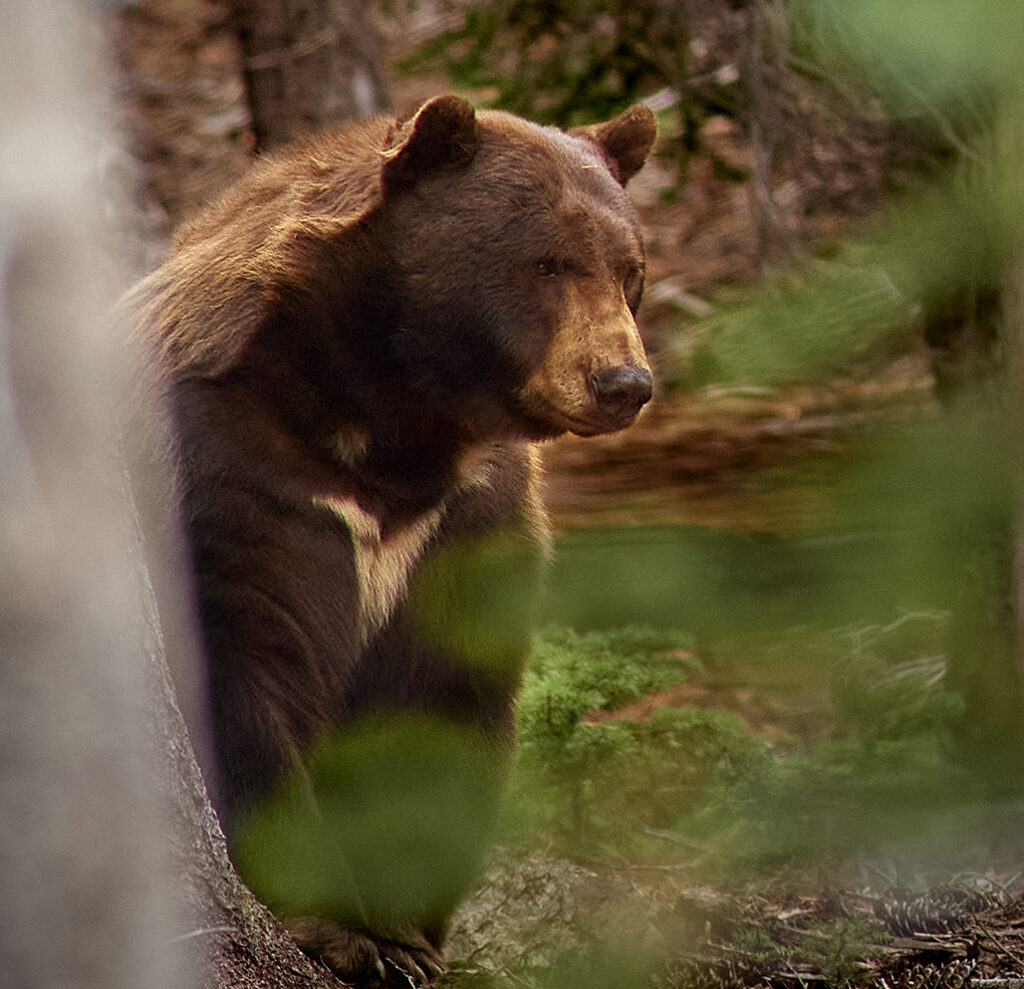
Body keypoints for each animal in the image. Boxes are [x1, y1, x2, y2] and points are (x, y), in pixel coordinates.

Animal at [128, 94, 655, 989]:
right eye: (548, 262)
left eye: (630, 269)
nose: (623, 382)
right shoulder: (229, 468)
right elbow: (242, 661)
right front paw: (339, 926)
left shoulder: (463, 518)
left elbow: (436, 693)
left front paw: (402, 933)